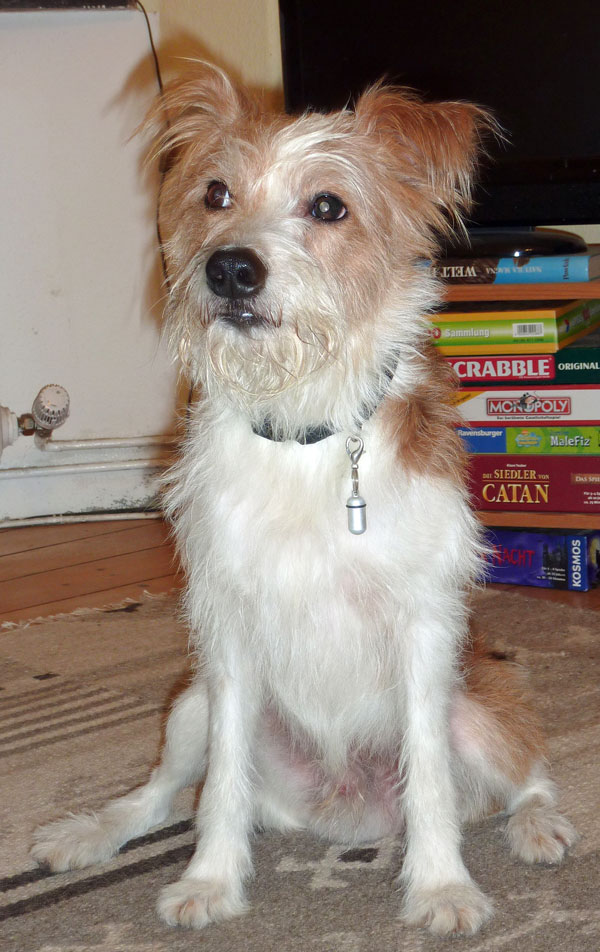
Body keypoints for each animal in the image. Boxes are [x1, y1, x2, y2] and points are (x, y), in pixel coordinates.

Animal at [31, 63, 575, 937]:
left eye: (328, 206)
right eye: (214, 193)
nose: (229, 270)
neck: (303, 434)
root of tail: (344, 815)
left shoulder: (423, 627)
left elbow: (430, 779)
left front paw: (441, 889)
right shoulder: (227, 633)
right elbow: (219, 788)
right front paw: (211, 881)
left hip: (480, 709)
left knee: (524, 772)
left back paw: (537, 825)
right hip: (190, 705)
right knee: (163, 795)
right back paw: (86, 835)